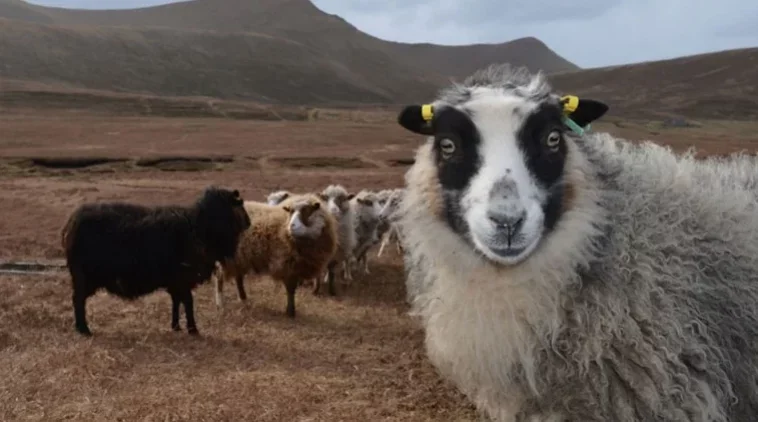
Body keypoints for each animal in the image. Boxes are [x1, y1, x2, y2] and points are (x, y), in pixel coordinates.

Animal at [62, 187, 251, 336]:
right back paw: (84, 329)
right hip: (84, 276)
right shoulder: (183, 278)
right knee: (78, 300)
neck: (200, 227)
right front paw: (193, 329)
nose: (249, 223)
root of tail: (70, 223)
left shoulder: (175, 282)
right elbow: (188, 302)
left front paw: (176, 326)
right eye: (239, 204)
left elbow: (176, 301)